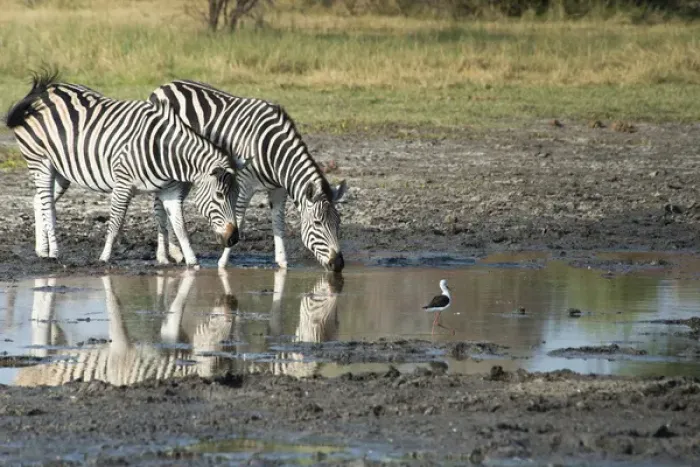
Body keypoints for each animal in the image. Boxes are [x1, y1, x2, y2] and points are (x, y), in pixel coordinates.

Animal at [4, 72, 246, 265]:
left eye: (235, 195)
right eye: (219, 196)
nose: (233, 239)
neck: (166, 150)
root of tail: (43, 92)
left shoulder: (170, 191)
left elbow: (180, 226)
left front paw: (192, 261)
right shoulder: (123, 184)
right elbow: (116, 222)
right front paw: (104, 257)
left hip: (62, 170)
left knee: (38, 201)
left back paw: (42, 250)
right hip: (40, 161)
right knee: (47, 205)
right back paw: (54, 251)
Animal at [149, 80, 348, 272]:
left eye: (338, 223)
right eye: (317, 223)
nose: (338, 264)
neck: (272, 151)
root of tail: (164, 86)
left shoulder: (279, 189)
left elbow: (278, 222)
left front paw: (283, 262)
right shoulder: (244, 185)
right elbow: (239, 219)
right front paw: (222, 263)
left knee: (172, 205)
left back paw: (175, 251)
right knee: (159, 206)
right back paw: (162, 256)